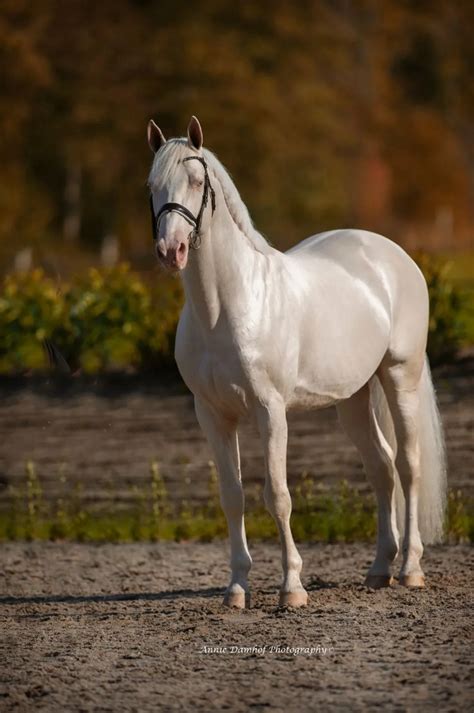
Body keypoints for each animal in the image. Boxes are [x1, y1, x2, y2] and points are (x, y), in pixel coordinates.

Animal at [146, 115, 446, 608]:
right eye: (151, 185)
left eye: (196, 181)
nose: (171, 251)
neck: (226, 308)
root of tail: (391, 254)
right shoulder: (212, 415)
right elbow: (233, 496)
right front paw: (237, 588)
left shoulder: (271, 412)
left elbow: (278, 496)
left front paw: (292, 588)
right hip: (353, 398)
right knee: (381, 467)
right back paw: (379, 569)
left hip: (400, 374)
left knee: (408, 465)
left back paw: (411, 570)